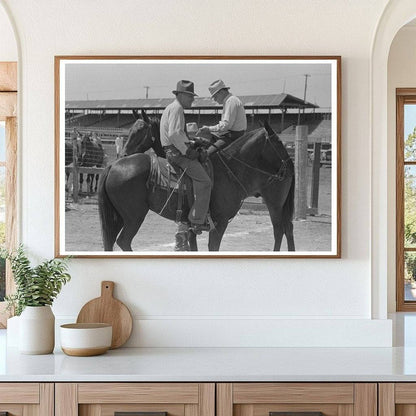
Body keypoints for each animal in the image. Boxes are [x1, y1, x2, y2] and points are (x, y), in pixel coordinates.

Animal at [96, 112, 296, 252]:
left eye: (140, 131)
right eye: (279, 143)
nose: (123, 154)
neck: (230, 169)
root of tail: (113, 166)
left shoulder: (207, 224)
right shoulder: (217, 223)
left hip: (275, 202)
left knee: (282, 229)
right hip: (132, 217)